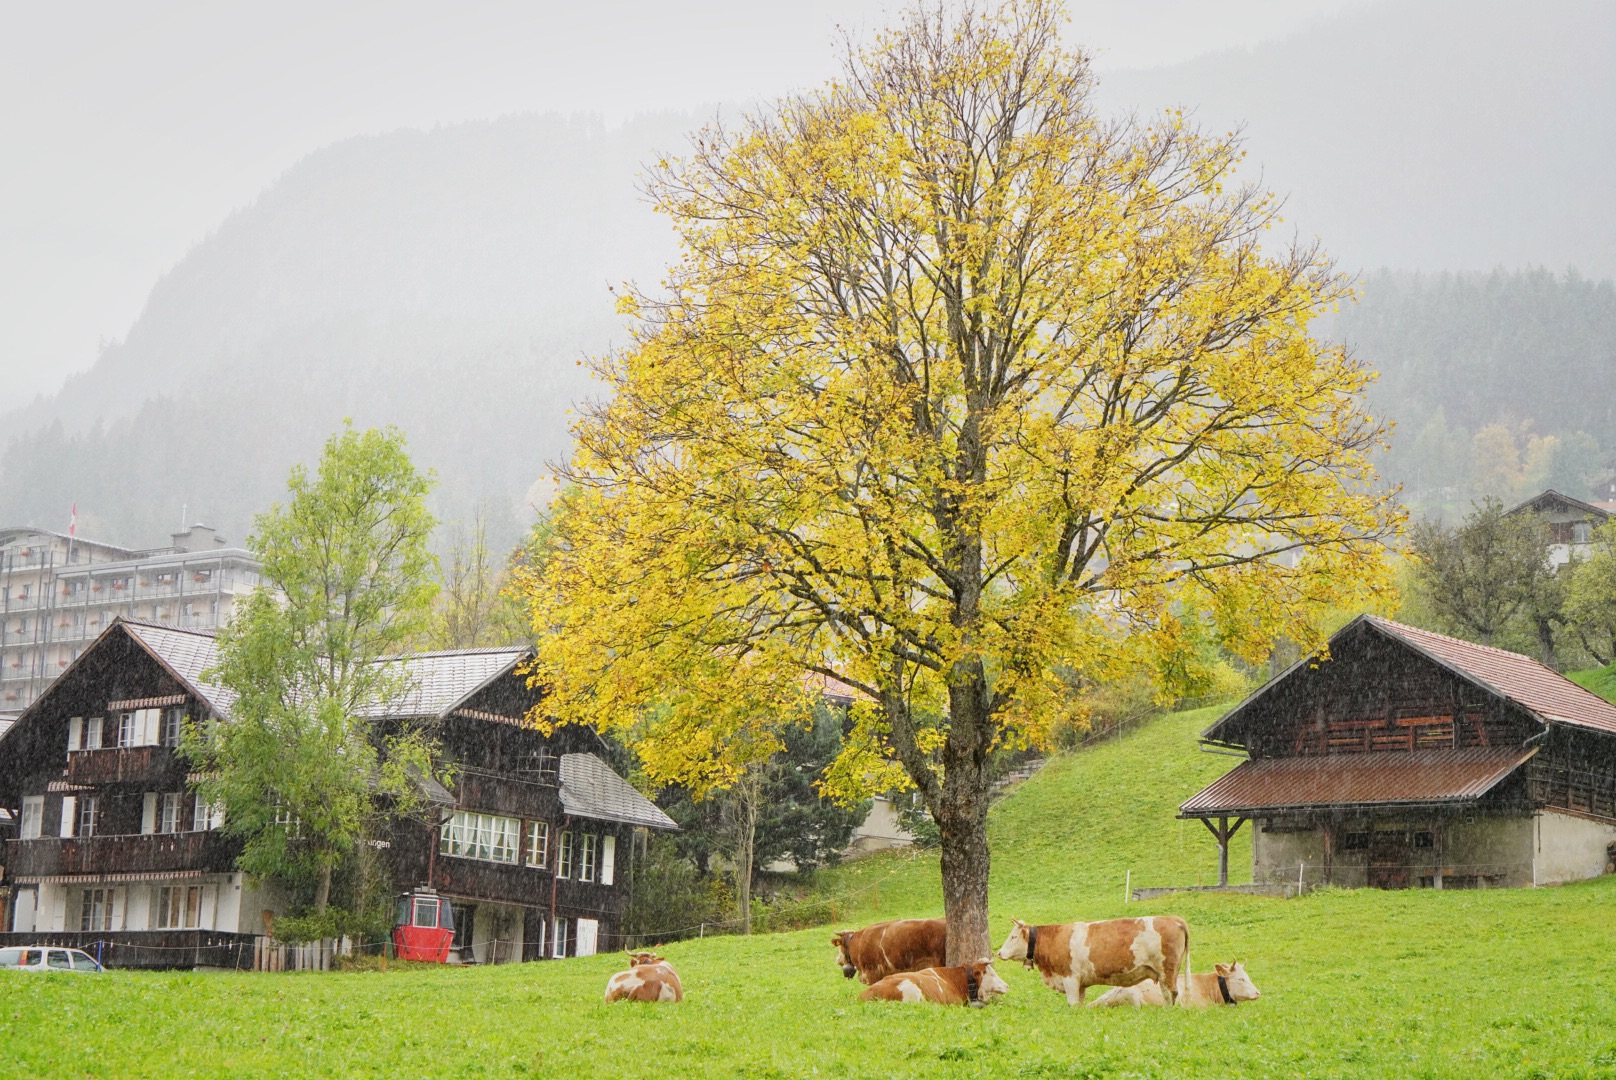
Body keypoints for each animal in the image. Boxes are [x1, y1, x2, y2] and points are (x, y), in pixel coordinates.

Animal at [988, 918, 1195, 1008]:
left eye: (1013, 936)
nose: (999, 952)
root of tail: (1173, 918)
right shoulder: (1080, 984)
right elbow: (1079, 1004)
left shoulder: (1070, 979)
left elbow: (1072, 1003)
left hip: (1166, 971)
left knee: (1171, 994)